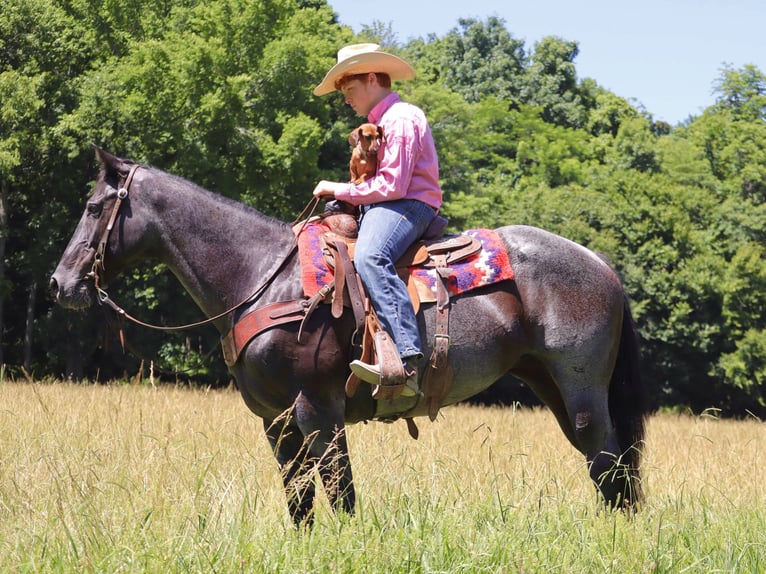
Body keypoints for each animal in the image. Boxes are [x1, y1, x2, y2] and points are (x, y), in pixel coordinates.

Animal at [49, 150, 648, 528]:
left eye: (95, 207)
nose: (61, 284)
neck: (263, 276)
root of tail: (600, 263)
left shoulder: (318, 407)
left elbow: (340, 493)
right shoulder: (275, 418)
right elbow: (300, 500)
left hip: (581, 389)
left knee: (607, 460)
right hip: (551, 386)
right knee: (609, 465)